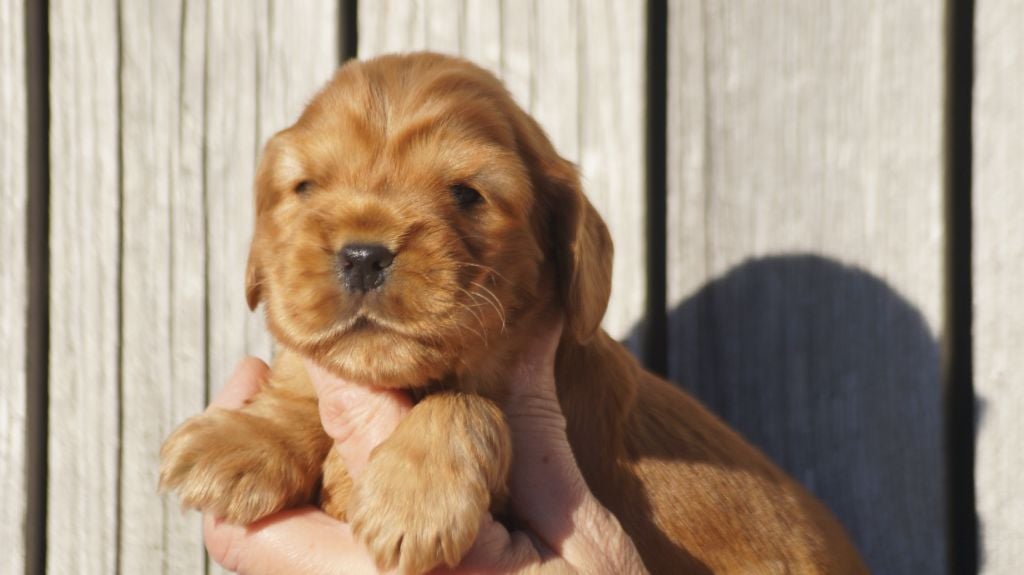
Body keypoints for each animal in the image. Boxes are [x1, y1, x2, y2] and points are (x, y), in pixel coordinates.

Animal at [163, 53, 868, 572]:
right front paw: (242, 440)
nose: (363, 254)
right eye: (305, 188)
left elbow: (468, 406)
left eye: (467, 194)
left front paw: (410, 498)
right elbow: (308, 385)